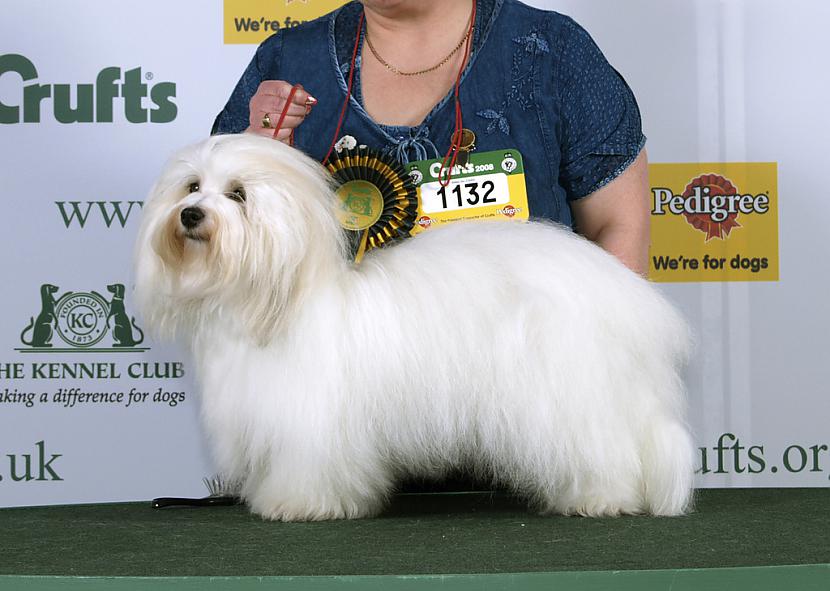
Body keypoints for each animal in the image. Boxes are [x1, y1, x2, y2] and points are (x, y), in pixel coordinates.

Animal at [135, 135, 696, 524]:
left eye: (238, 195)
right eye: (192, 186)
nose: (190, 214)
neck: (278, 296)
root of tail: (627, 294)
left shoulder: (311, 422)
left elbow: (310, 466)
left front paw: (298, 503)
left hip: (568, 392)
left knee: (604, 448)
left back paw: (599, 497)